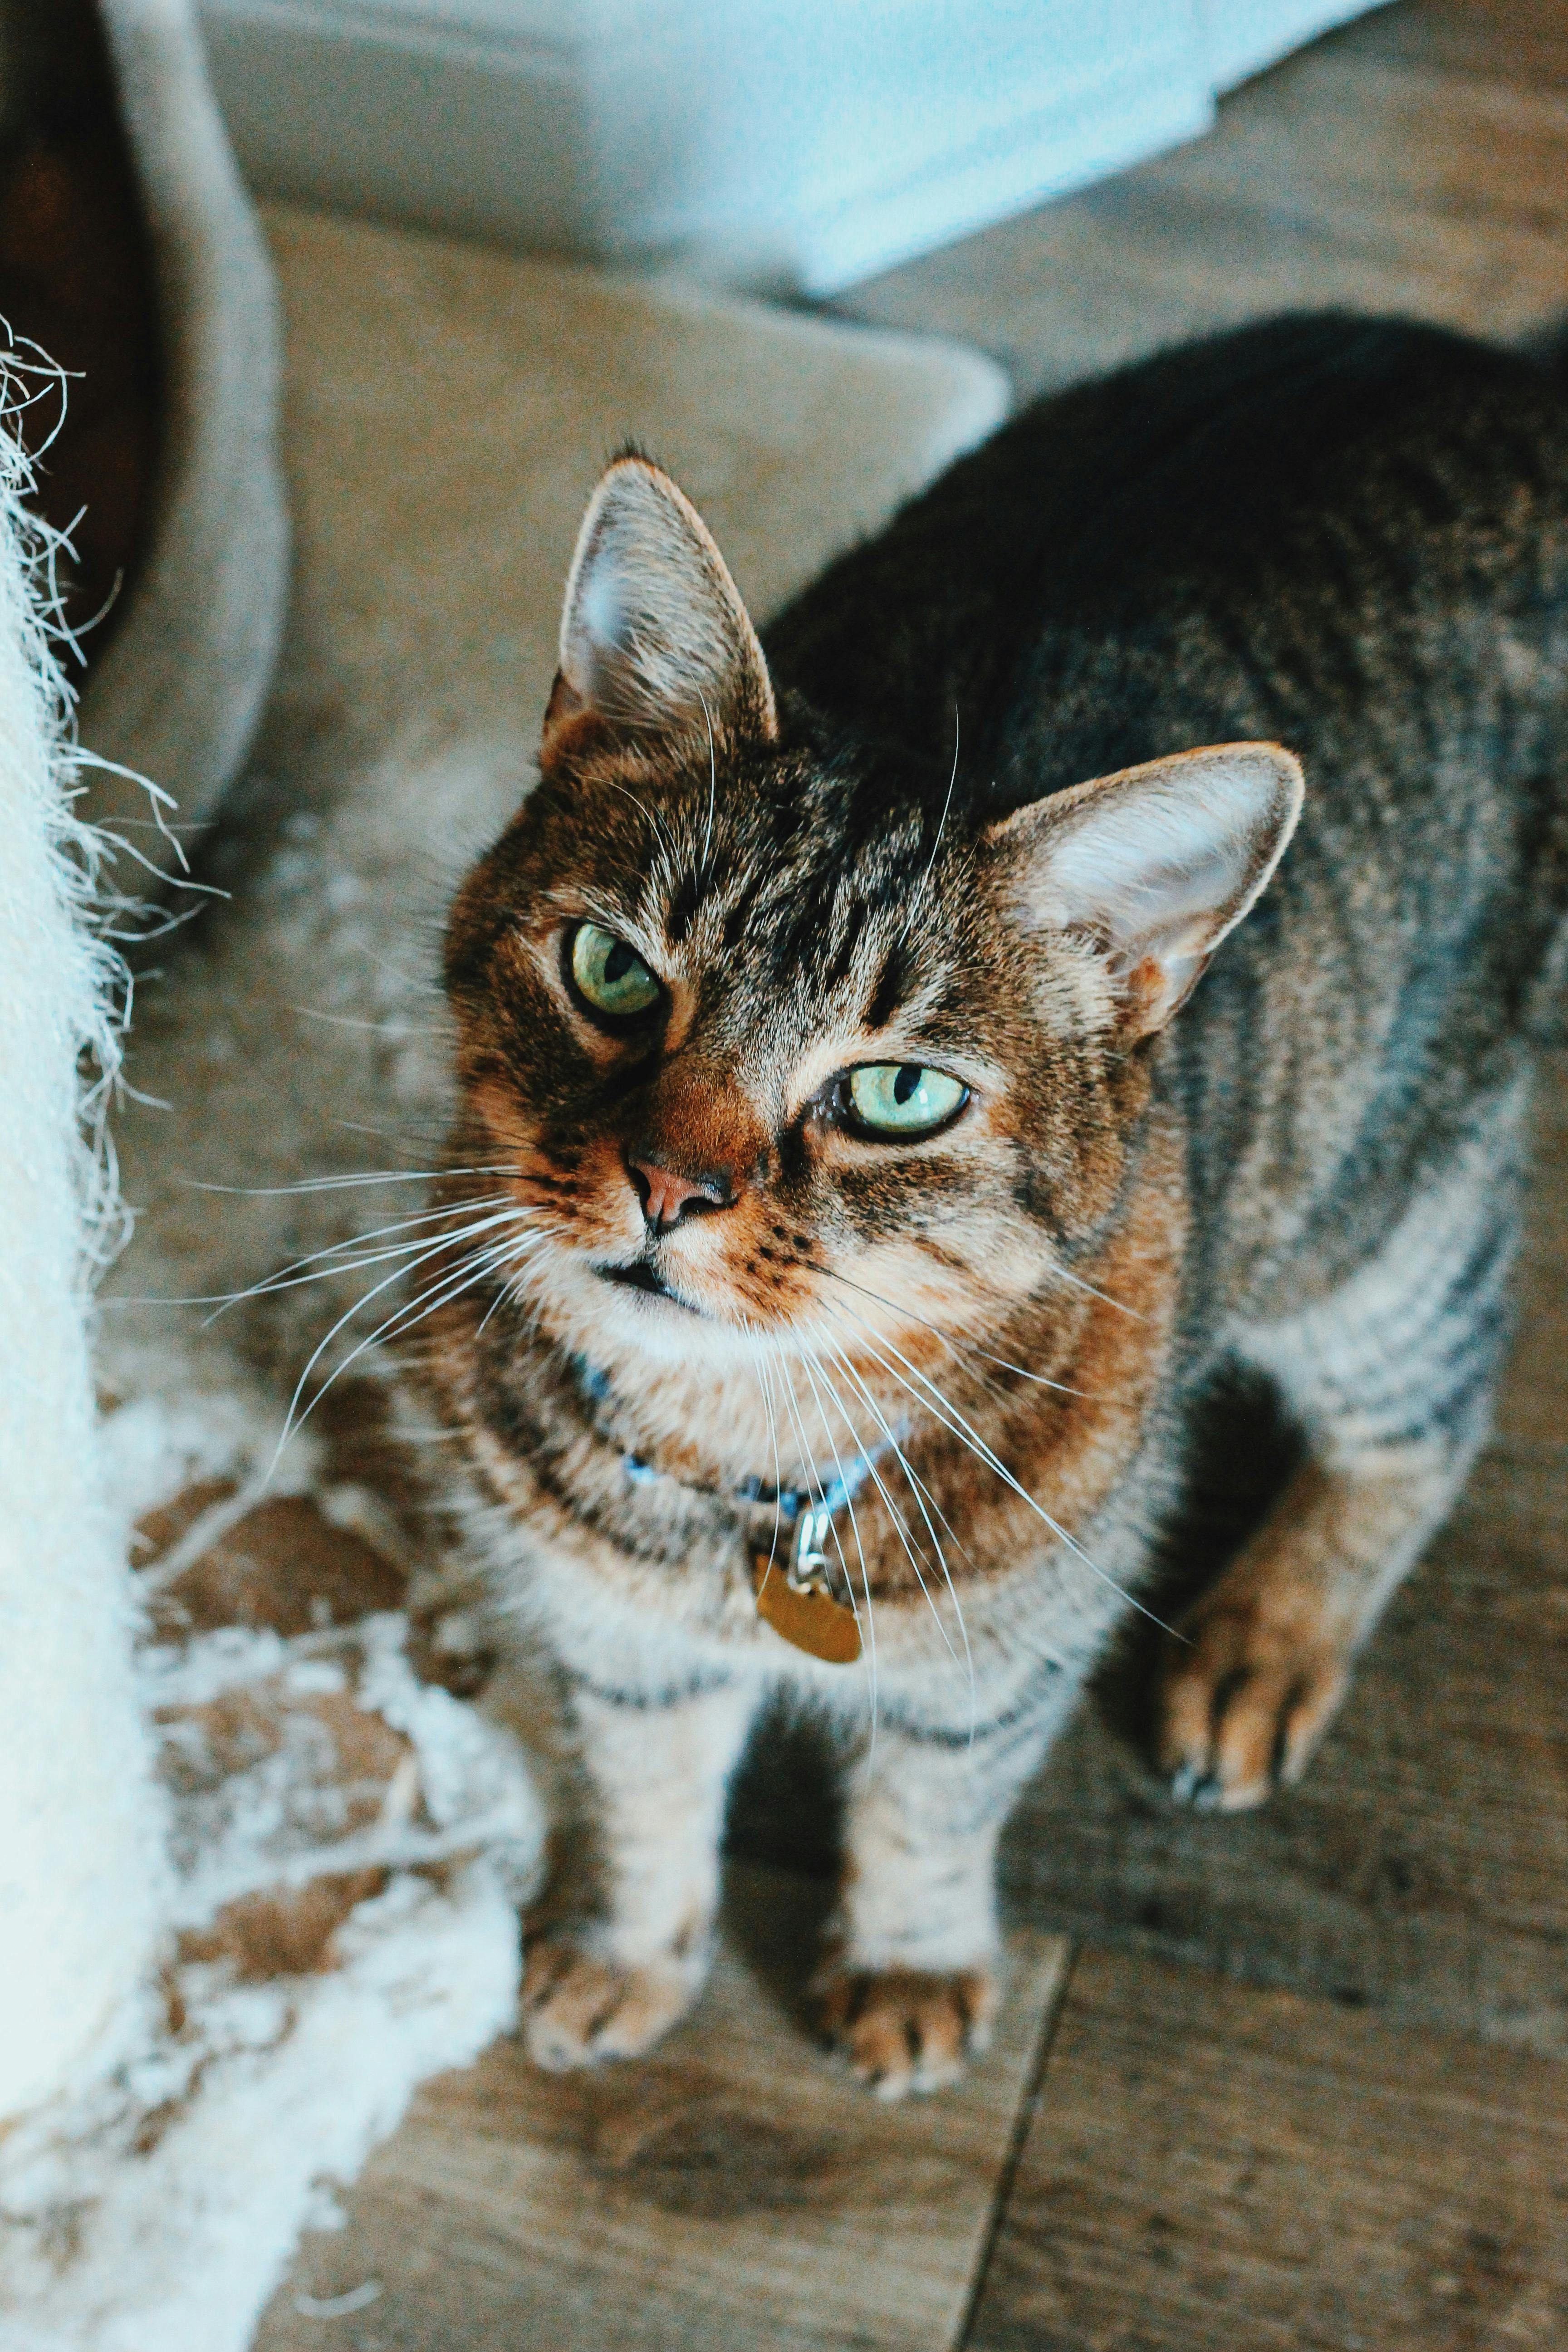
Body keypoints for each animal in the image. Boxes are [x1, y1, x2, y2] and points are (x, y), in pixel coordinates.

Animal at [416, 313, 1568, 2098]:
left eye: (898, 1095)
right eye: (611, 969)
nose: (671, 1186)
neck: (741, 1467)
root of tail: (1493, 360)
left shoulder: (1007, 1653)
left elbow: (928, 1811)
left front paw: (908, 1966)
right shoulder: (613, 1642)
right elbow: (644, 1800)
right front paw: (624, 1952)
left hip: (1382, 1233)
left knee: (1427, 1415)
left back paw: (1263, 1647)